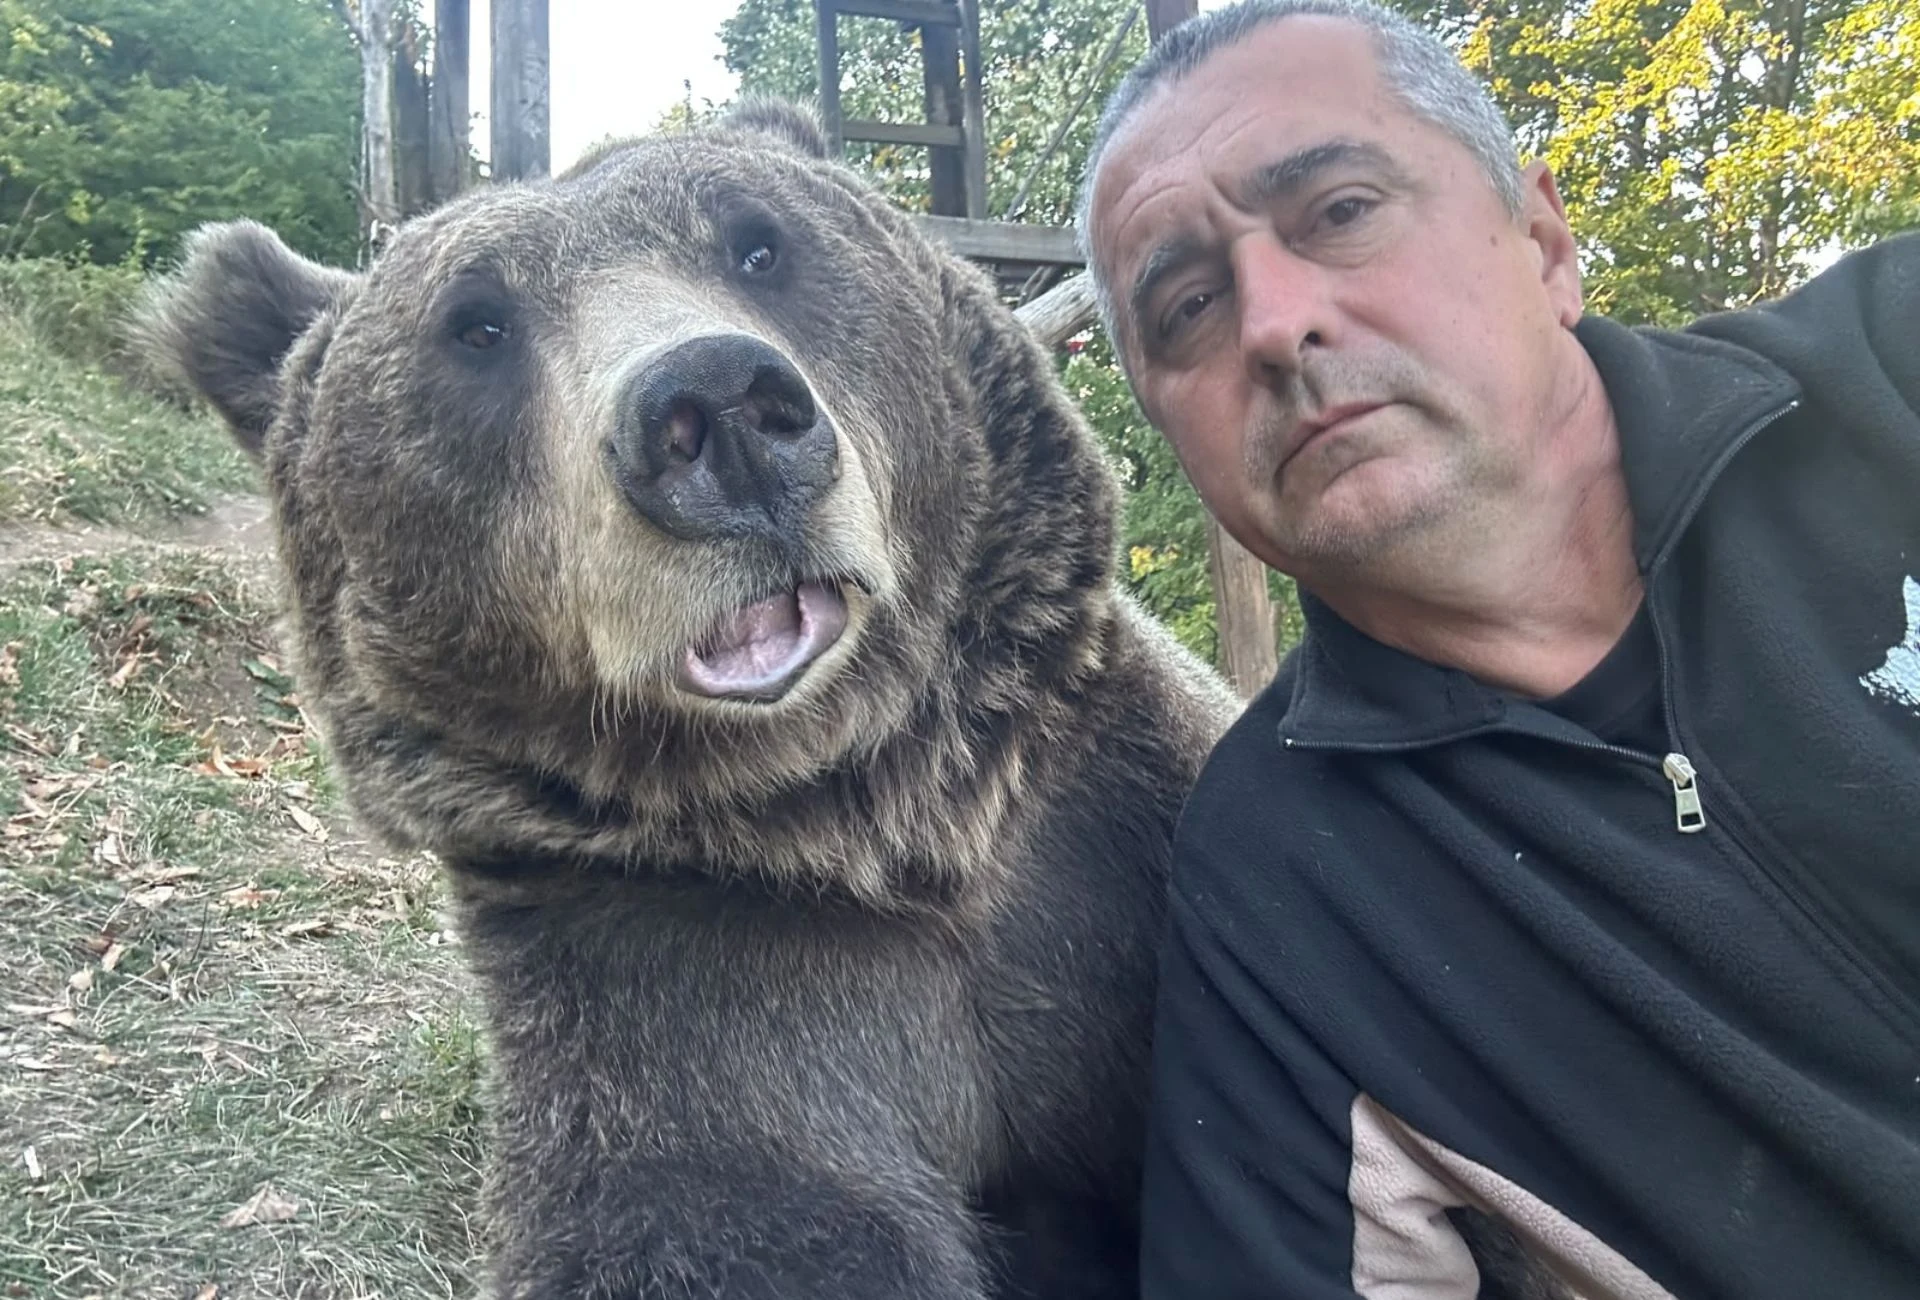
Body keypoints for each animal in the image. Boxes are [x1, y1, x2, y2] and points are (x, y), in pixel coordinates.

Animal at [139, 100, 1240, 1299]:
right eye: (476, 325)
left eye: (757, 246)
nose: (717, 404)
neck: (892, 821)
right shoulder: (685, 968)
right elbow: (729, 1214)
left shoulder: (1105, 833)